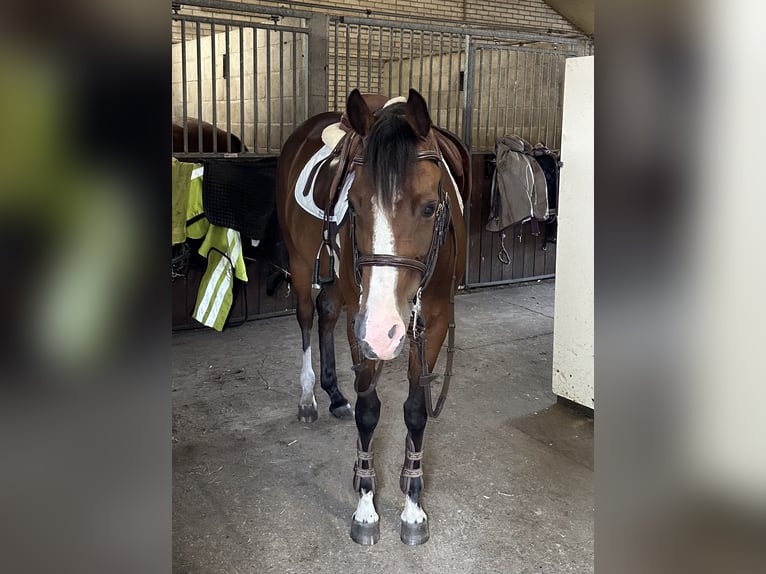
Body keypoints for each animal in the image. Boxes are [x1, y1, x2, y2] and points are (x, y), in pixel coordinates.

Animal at [275, 88, 470, 545]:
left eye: (430, 208)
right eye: (354, 205)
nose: (383, 333)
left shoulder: (433, 323)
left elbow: (416, 410)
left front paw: (413, 502)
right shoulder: (360, 323)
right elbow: (369, 410)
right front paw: (366, 506)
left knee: (327, 313)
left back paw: (334, 395)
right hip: (303, 263)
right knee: (308, 318)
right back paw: (309, 397)